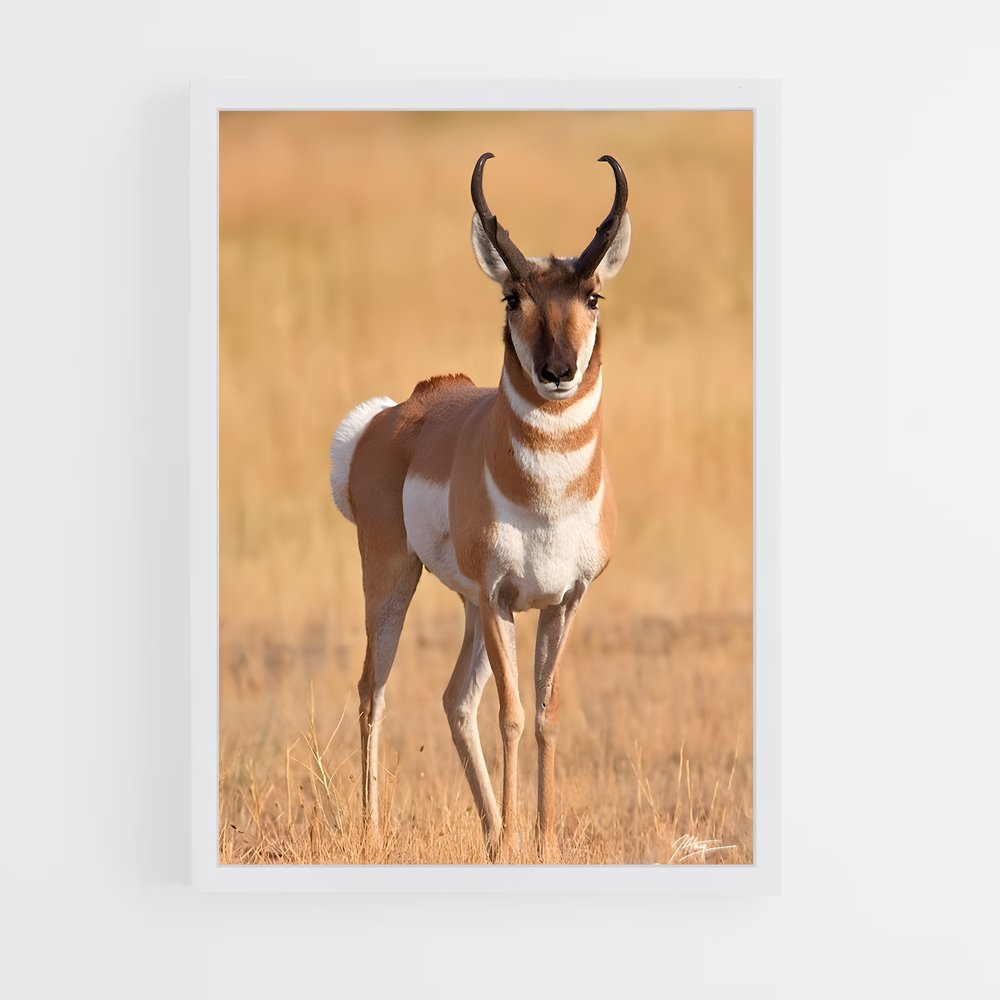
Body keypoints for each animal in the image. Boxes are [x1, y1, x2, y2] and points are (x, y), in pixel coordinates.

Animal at [329, 152, 631, 861]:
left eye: (593, 296)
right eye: (512, 296)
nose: (558, 371)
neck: (546, 498)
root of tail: (393, 414)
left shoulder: (560, 601)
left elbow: (545, 715)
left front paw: (542, 841)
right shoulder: (501, 599)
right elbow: (513, 715)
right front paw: (522, 838)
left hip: (467, 606)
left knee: (454, 700)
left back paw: (491, 833)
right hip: (394, 580)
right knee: (373, 691)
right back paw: (375, 832)